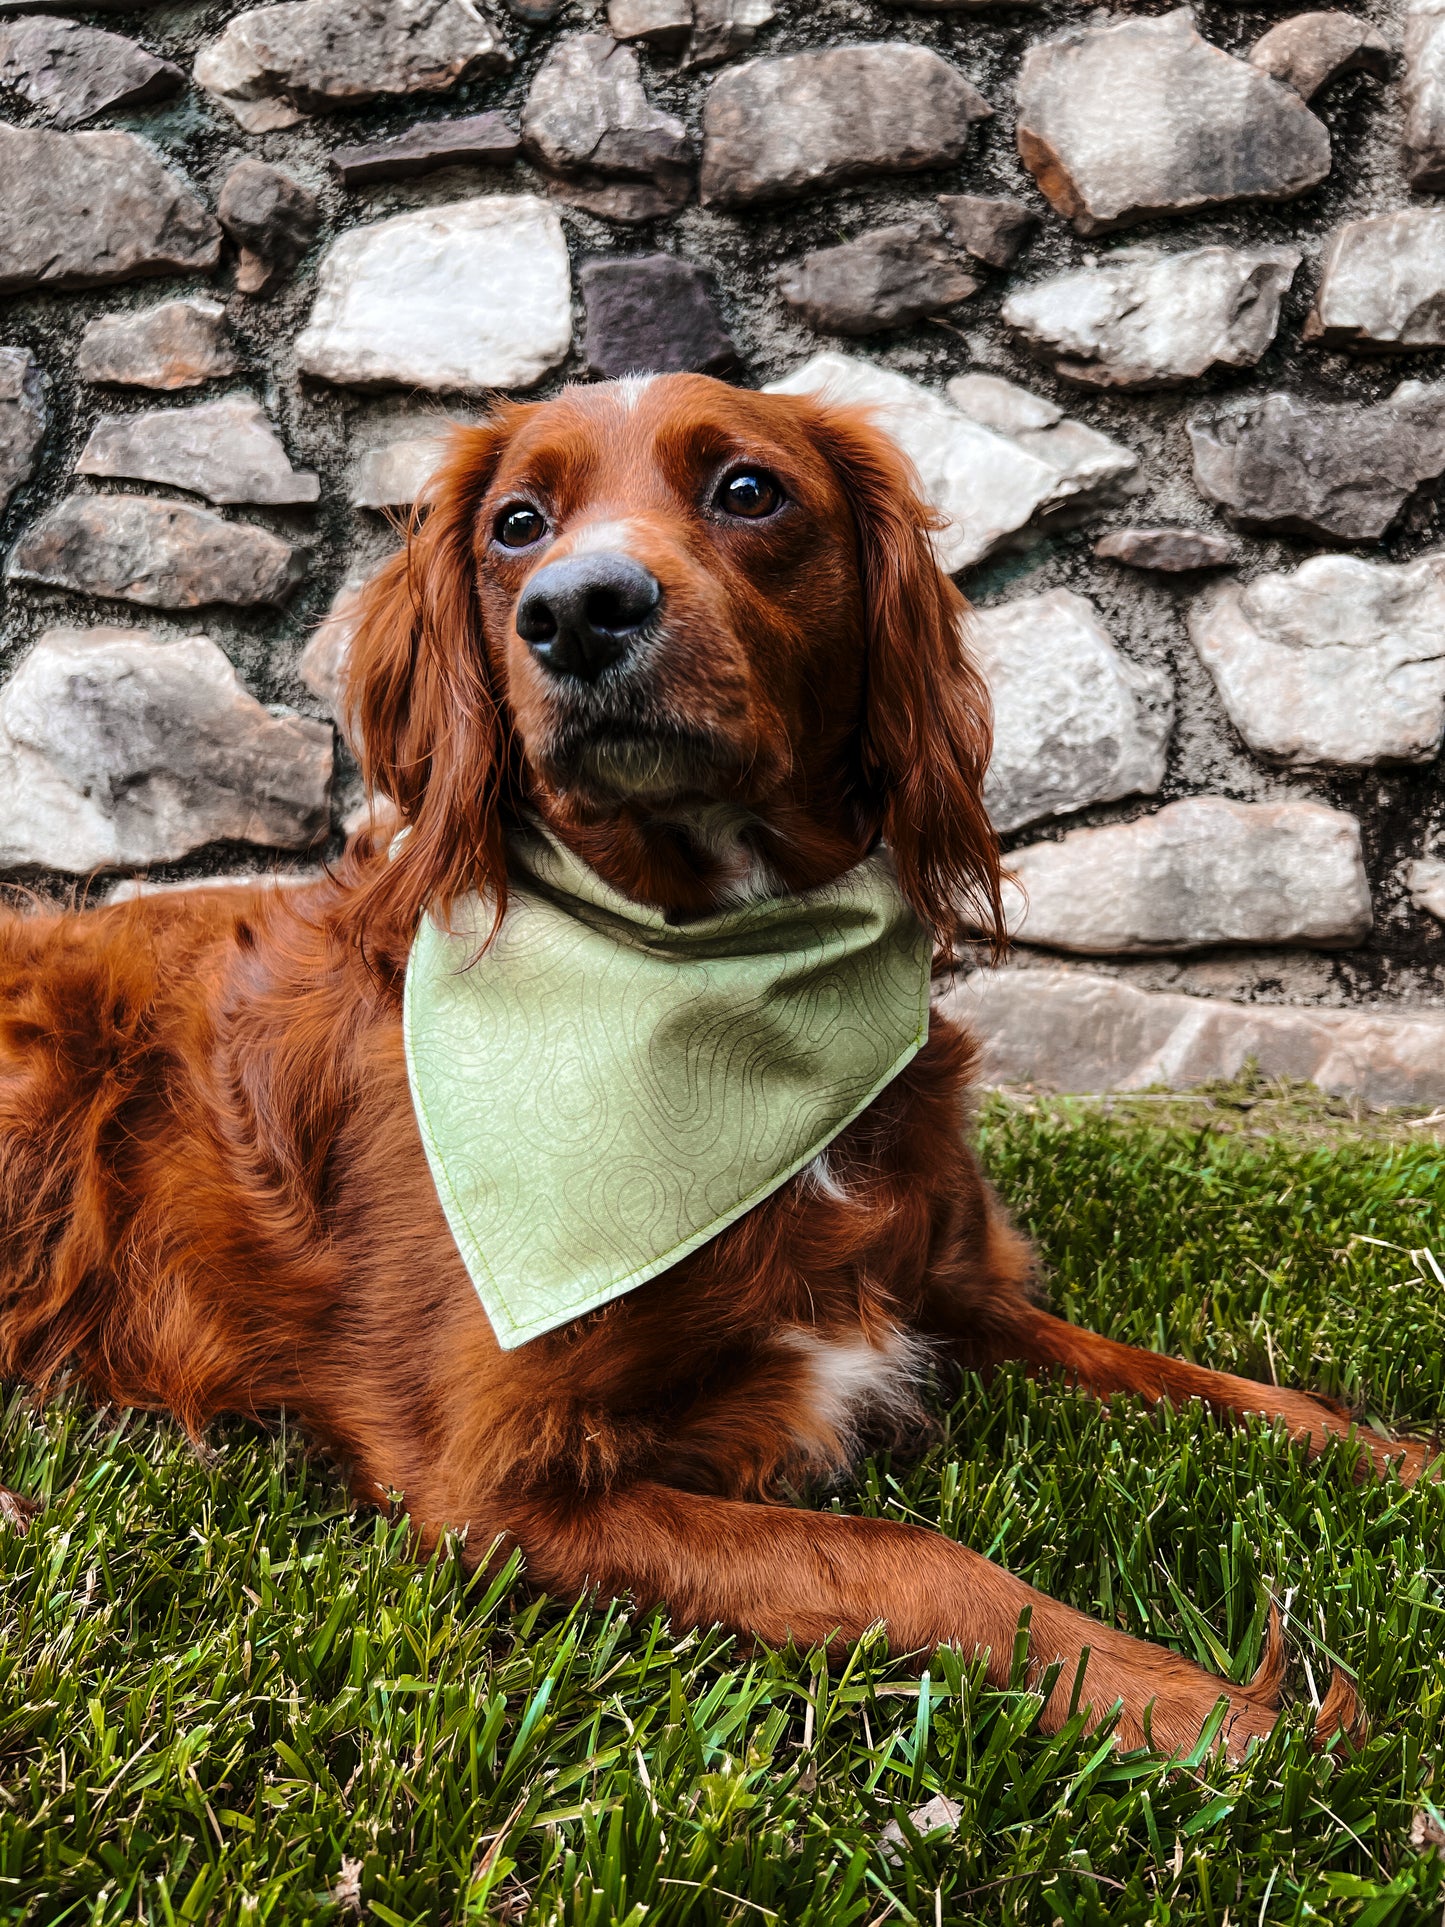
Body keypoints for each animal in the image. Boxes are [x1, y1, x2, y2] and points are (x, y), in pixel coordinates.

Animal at [0, 368, 1433, 1765]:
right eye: (516, 524)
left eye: (748, 490)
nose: (576, 610)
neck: (710, 980)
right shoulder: (491, 1486)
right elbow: (906, 1558)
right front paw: (1204, 1708)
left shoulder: (953, 1296)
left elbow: (1219, 1387)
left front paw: (1396, 1460)